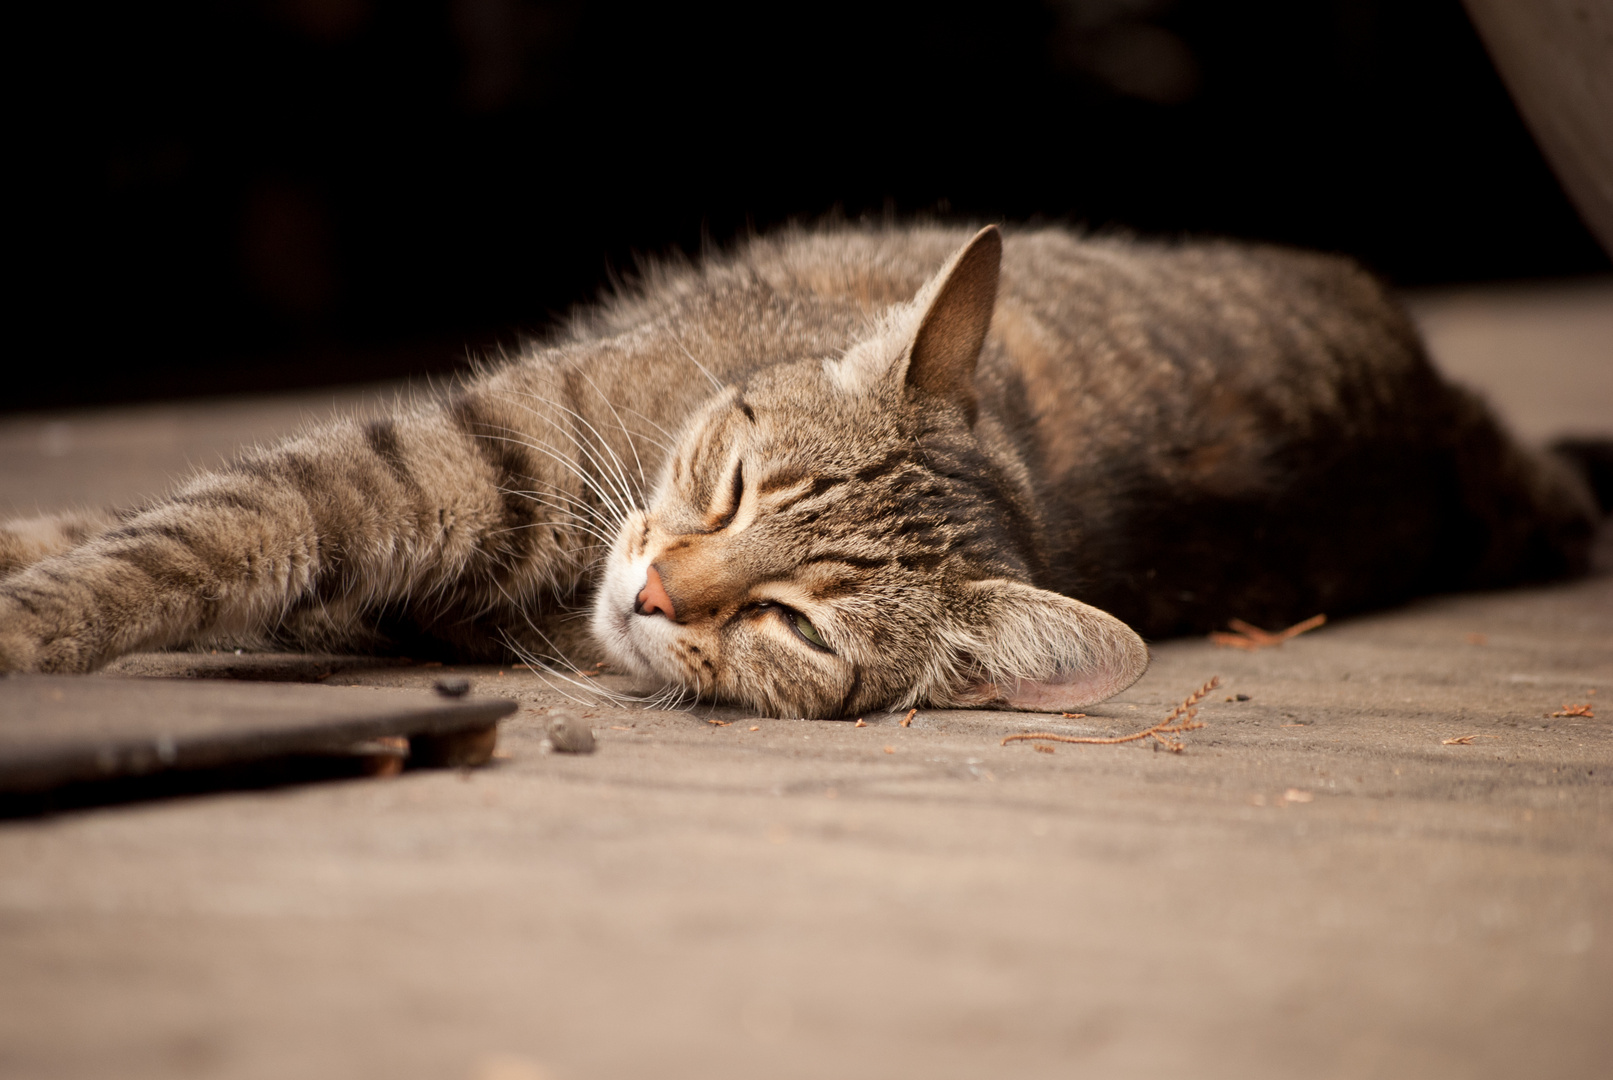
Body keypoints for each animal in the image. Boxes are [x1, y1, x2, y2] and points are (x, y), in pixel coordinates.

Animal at [0, 225, 1600, 718]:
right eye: (731, 487)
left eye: (790, 625)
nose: (656, 590)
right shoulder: (434, 460)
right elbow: (184, 528)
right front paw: (32, 586)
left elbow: (202, 540)